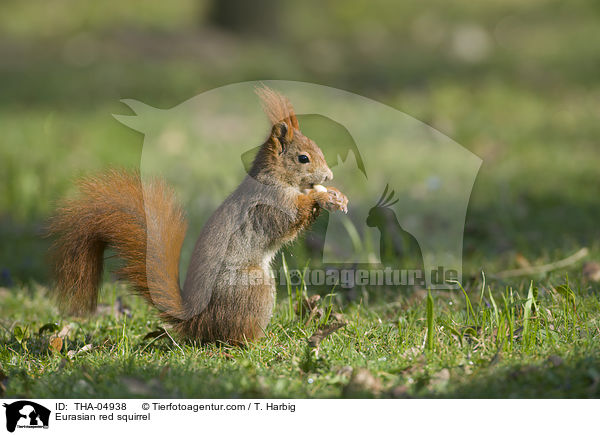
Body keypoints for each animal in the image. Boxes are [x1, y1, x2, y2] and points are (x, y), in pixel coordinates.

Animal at [49, 86, 350, 344]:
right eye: (303, 158)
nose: (328, 176)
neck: (275, 178)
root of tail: (197, 321)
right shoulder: (270, 206)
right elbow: (290, 220)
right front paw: (321, 197)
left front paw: (336, 194)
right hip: (252, 286)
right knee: (232, 336)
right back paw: (258, 341)